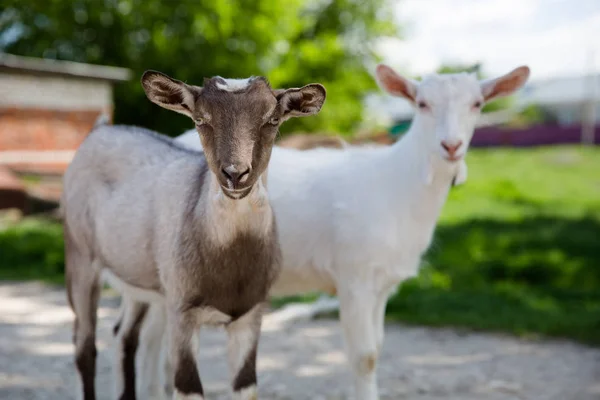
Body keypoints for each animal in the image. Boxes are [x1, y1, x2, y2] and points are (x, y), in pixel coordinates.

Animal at [63, 72, 326, 400]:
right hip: (80, 258)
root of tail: (98, 131)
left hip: (138, 276)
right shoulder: (182, 310)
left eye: (273, 119)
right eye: (200, 119)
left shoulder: (250, 312)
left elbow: (246, 385)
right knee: (84, 345)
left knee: (124, 334)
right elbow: (188, 387)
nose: (235, 174)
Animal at [125, 64, 524, 398]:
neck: (397, 186)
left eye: (477, 104)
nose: (451, 146)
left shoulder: (382, 284)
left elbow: (378, 347)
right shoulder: (354, 277)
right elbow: (365, 356)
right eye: (422, 104)